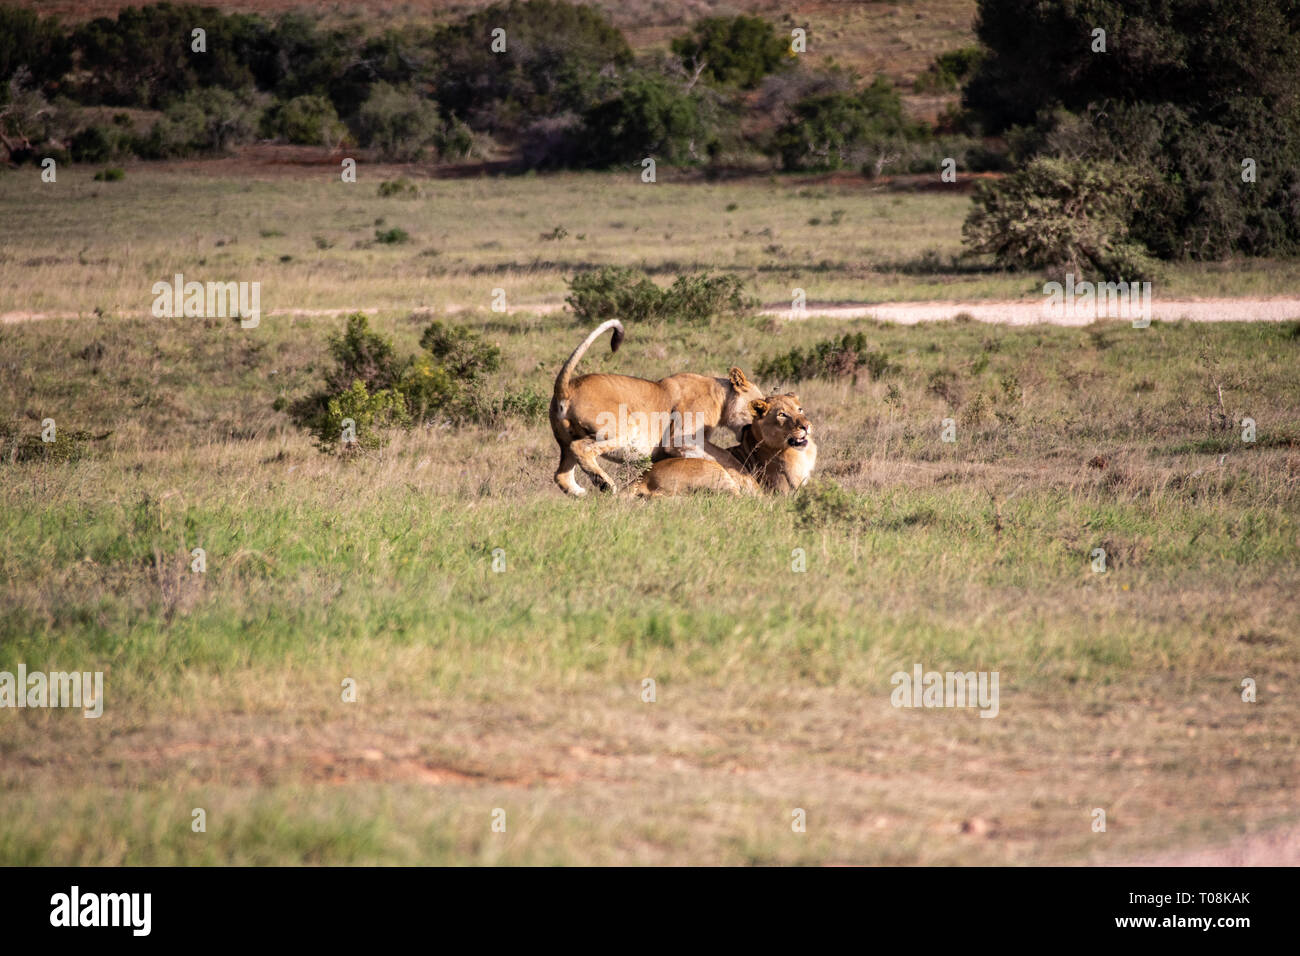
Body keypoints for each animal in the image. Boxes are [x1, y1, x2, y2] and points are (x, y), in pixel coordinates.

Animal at [551, 319, 766, 495]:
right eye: (759, 407)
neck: (721, 396)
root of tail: (567, 388)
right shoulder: (679, 439)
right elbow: (722, 457)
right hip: (624, 428)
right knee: (581, 448)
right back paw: (605, 484)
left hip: (564, 441)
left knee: (561, 475)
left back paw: (583, 493)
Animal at [629, 393, 817, 497]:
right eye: (782, 414)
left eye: (800, 409)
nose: (806, 426)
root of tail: (643, 477)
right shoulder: (785, 492)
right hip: (719, 472)